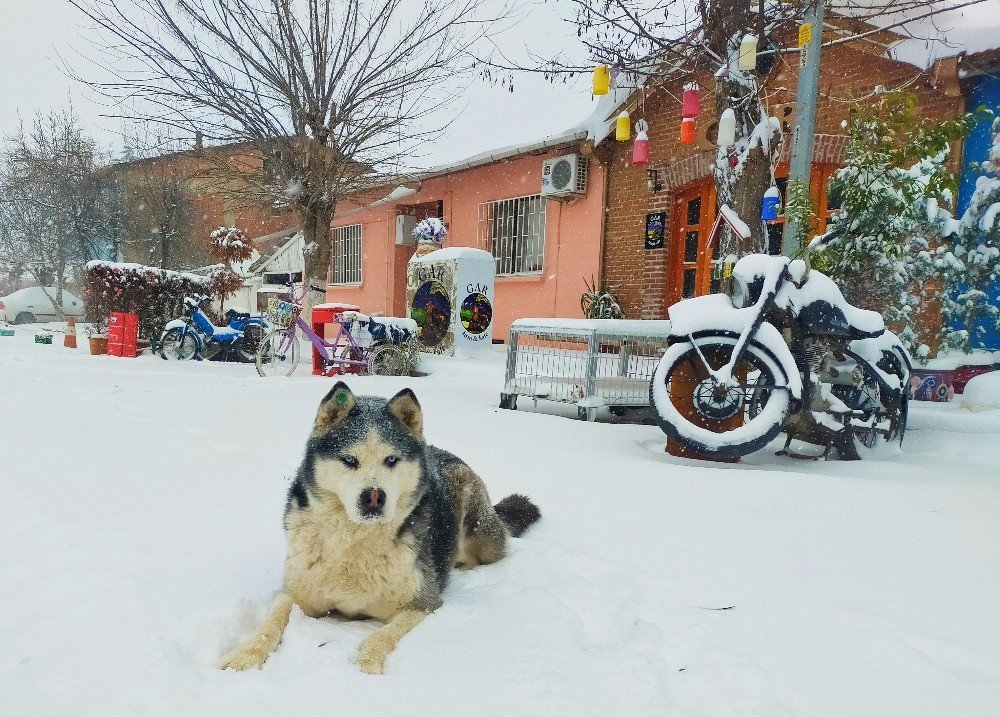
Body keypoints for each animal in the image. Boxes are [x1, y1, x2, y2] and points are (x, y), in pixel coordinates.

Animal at [219, 384, 540, 676]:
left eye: (391, 460)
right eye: (350, 460)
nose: (374, 496)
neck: (355, 541)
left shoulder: (423, 602)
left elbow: (383, 635)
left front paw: (368, 663)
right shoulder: (295, 591)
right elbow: (269, 624)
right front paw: (244, 656)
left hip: (478, 526)